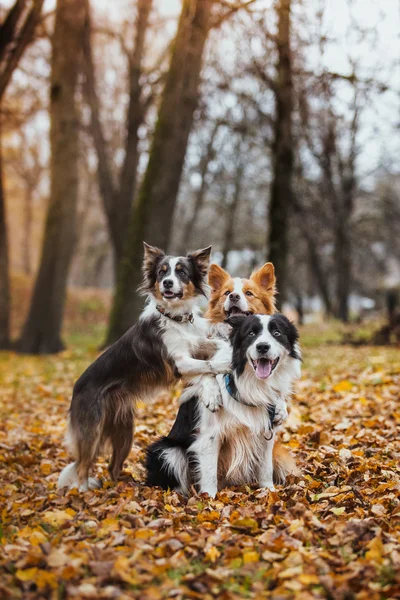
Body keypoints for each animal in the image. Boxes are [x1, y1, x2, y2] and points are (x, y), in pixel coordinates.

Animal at [57, 244, 231, 492]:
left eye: (182, 272)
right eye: (161, 273)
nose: (167, 283)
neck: (175, 318)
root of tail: (76, 388)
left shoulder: (197, 347)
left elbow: (211, 355)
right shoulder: (178, 363)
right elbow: (208, 367)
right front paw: (221, 376)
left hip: (125, 433)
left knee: (112, 466)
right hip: (92, 429)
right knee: (82, 467)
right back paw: (83, 491)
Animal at [145, 314, 302, 496]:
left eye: (277, 333)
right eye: (251, 334)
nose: (262, 347)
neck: (251, 384)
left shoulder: (266, 431)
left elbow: (265, 468)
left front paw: (268, 491)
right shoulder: (209, 435)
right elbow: (209, 473)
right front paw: (209, 498)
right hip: (167, 451)